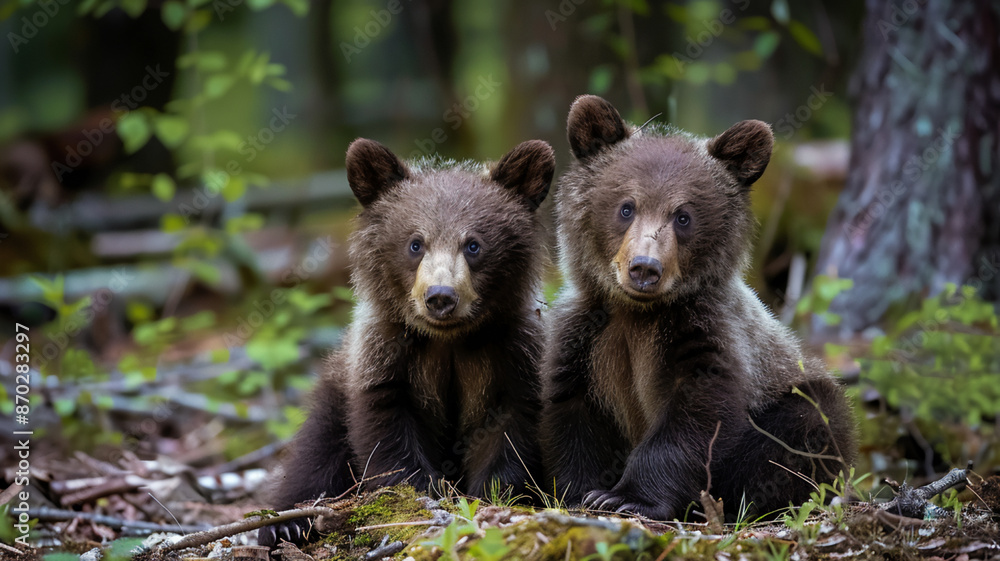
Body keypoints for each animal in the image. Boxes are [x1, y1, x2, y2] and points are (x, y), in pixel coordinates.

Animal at [259, 137, 555, 546]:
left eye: (473, 245)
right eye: (416, 244)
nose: (441, 296)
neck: (449, 340)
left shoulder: (513, 354)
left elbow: (510, 435)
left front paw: (492, 497)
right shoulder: (385, 358)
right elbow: (387, 434)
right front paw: (419, 496)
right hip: (335, 393)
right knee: (315, 452)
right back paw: (286, 523)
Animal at [539, 94, 857, 522]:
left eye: (683, 216)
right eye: (626, 207)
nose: (645, 268)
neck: (639, 312)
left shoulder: (707, 334)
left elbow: (696, 417)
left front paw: (626, 497)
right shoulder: (585, 338)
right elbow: (573, 416)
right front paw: (581, 490)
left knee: (808, 425)